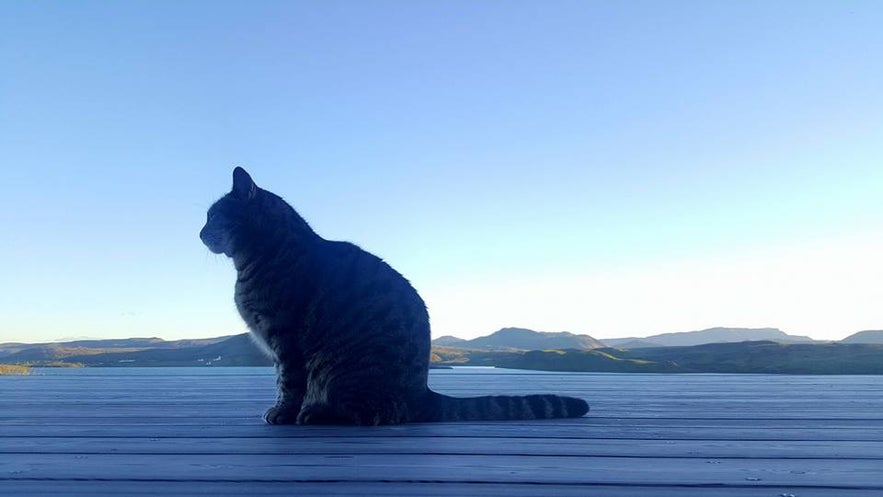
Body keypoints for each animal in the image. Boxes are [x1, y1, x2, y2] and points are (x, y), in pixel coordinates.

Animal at [199, 166, 588, 422]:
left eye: (213, 215)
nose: (199, 232)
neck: (258, 257)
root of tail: (422, 393)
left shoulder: (285, 338)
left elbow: (288, 382)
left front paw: (283, 412)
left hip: (343, 369)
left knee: (371, 413)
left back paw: (318, 413)